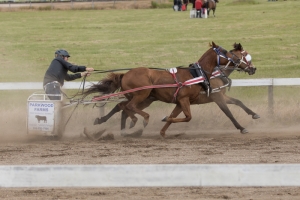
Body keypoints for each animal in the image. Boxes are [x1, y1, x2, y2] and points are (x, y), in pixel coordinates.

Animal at [84, 41, 255, 137]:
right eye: (226, 53)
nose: (253, 69)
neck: (199, 75)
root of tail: (125, 74)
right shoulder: (208, 98)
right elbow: (223, 114)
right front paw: (242, 128)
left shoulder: (181, 102)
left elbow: (237, 102)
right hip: (142, 95)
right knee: (129, 107)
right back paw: (139, 120)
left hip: (144, 98)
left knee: (123, 107)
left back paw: (122, 128)